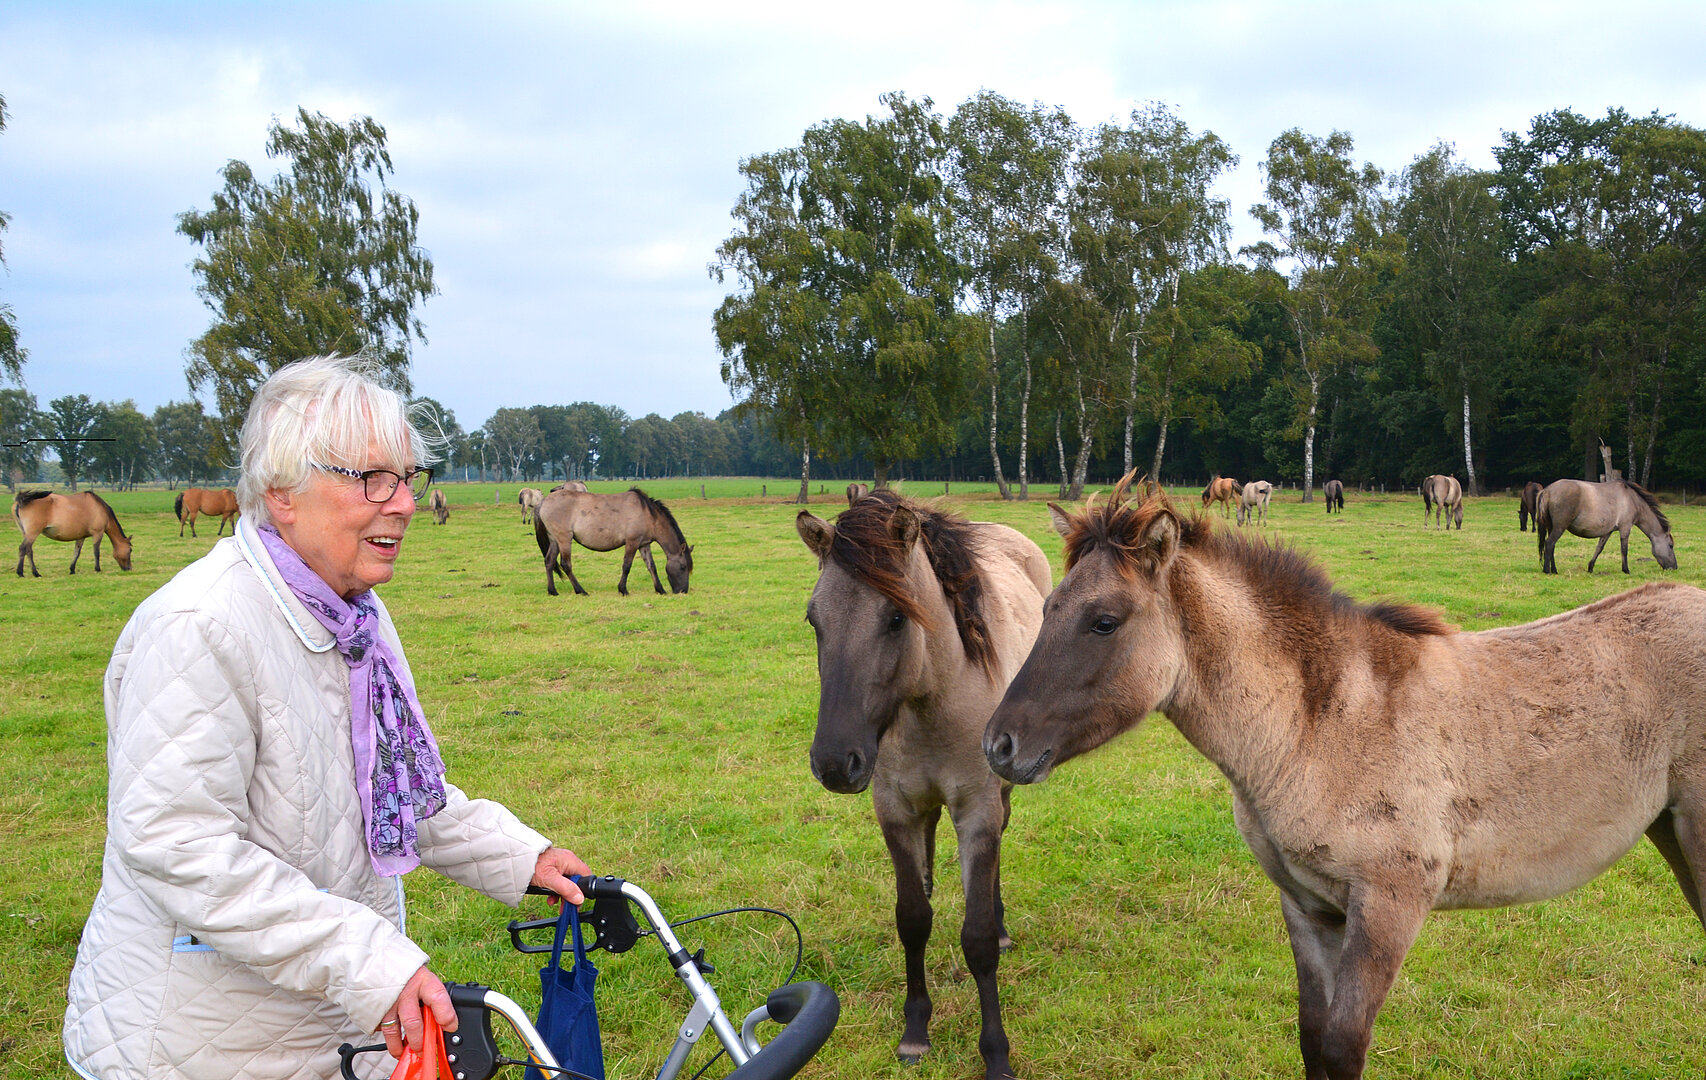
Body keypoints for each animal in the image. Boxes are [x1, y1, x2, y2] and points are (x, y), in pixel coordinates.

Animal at [532, 487, 692, 593]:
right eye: (683, 567)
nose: (683, 591)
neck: (648, 514)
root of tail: (543, 502)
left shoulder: (644, 544)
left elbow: (651, 566)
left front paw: (660, 589)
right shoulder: (632, 542)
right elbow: (627, 566)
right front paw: (623, 589)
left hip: (554, 541)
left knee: (549, 562)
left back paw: (552, 591)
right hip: (564, 539)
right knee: (566, 564)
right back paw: (580, 590)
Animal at [791, 491, 1044, 1078]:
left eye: (896, 618)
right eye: (814, 619)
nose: (834, 763)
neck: (935, 697)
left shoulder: (976, 810)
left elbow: (976, 939)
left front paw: (996, 1054)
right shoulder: (896, 811)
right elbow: (913, 918)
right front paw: (915, 1032)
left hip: (1001, 789)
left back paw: (1002, 922)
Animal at [1535, 474, 1678, 569]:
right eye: (1670, 545)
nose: (1674, 567)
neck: (1632, 500)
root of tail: (1547, 490)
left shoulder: (1607, 531)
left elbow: (1599, 548)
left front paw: (1590, 567)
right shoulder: (1625, 528)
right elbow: (1624, 549)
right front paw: (1626, 570)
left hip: (1551, 527)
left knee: (1551, 546)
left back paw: (1554, 569)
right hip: (1559, 527)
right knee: (1550, 544)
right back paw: (1548, 570)